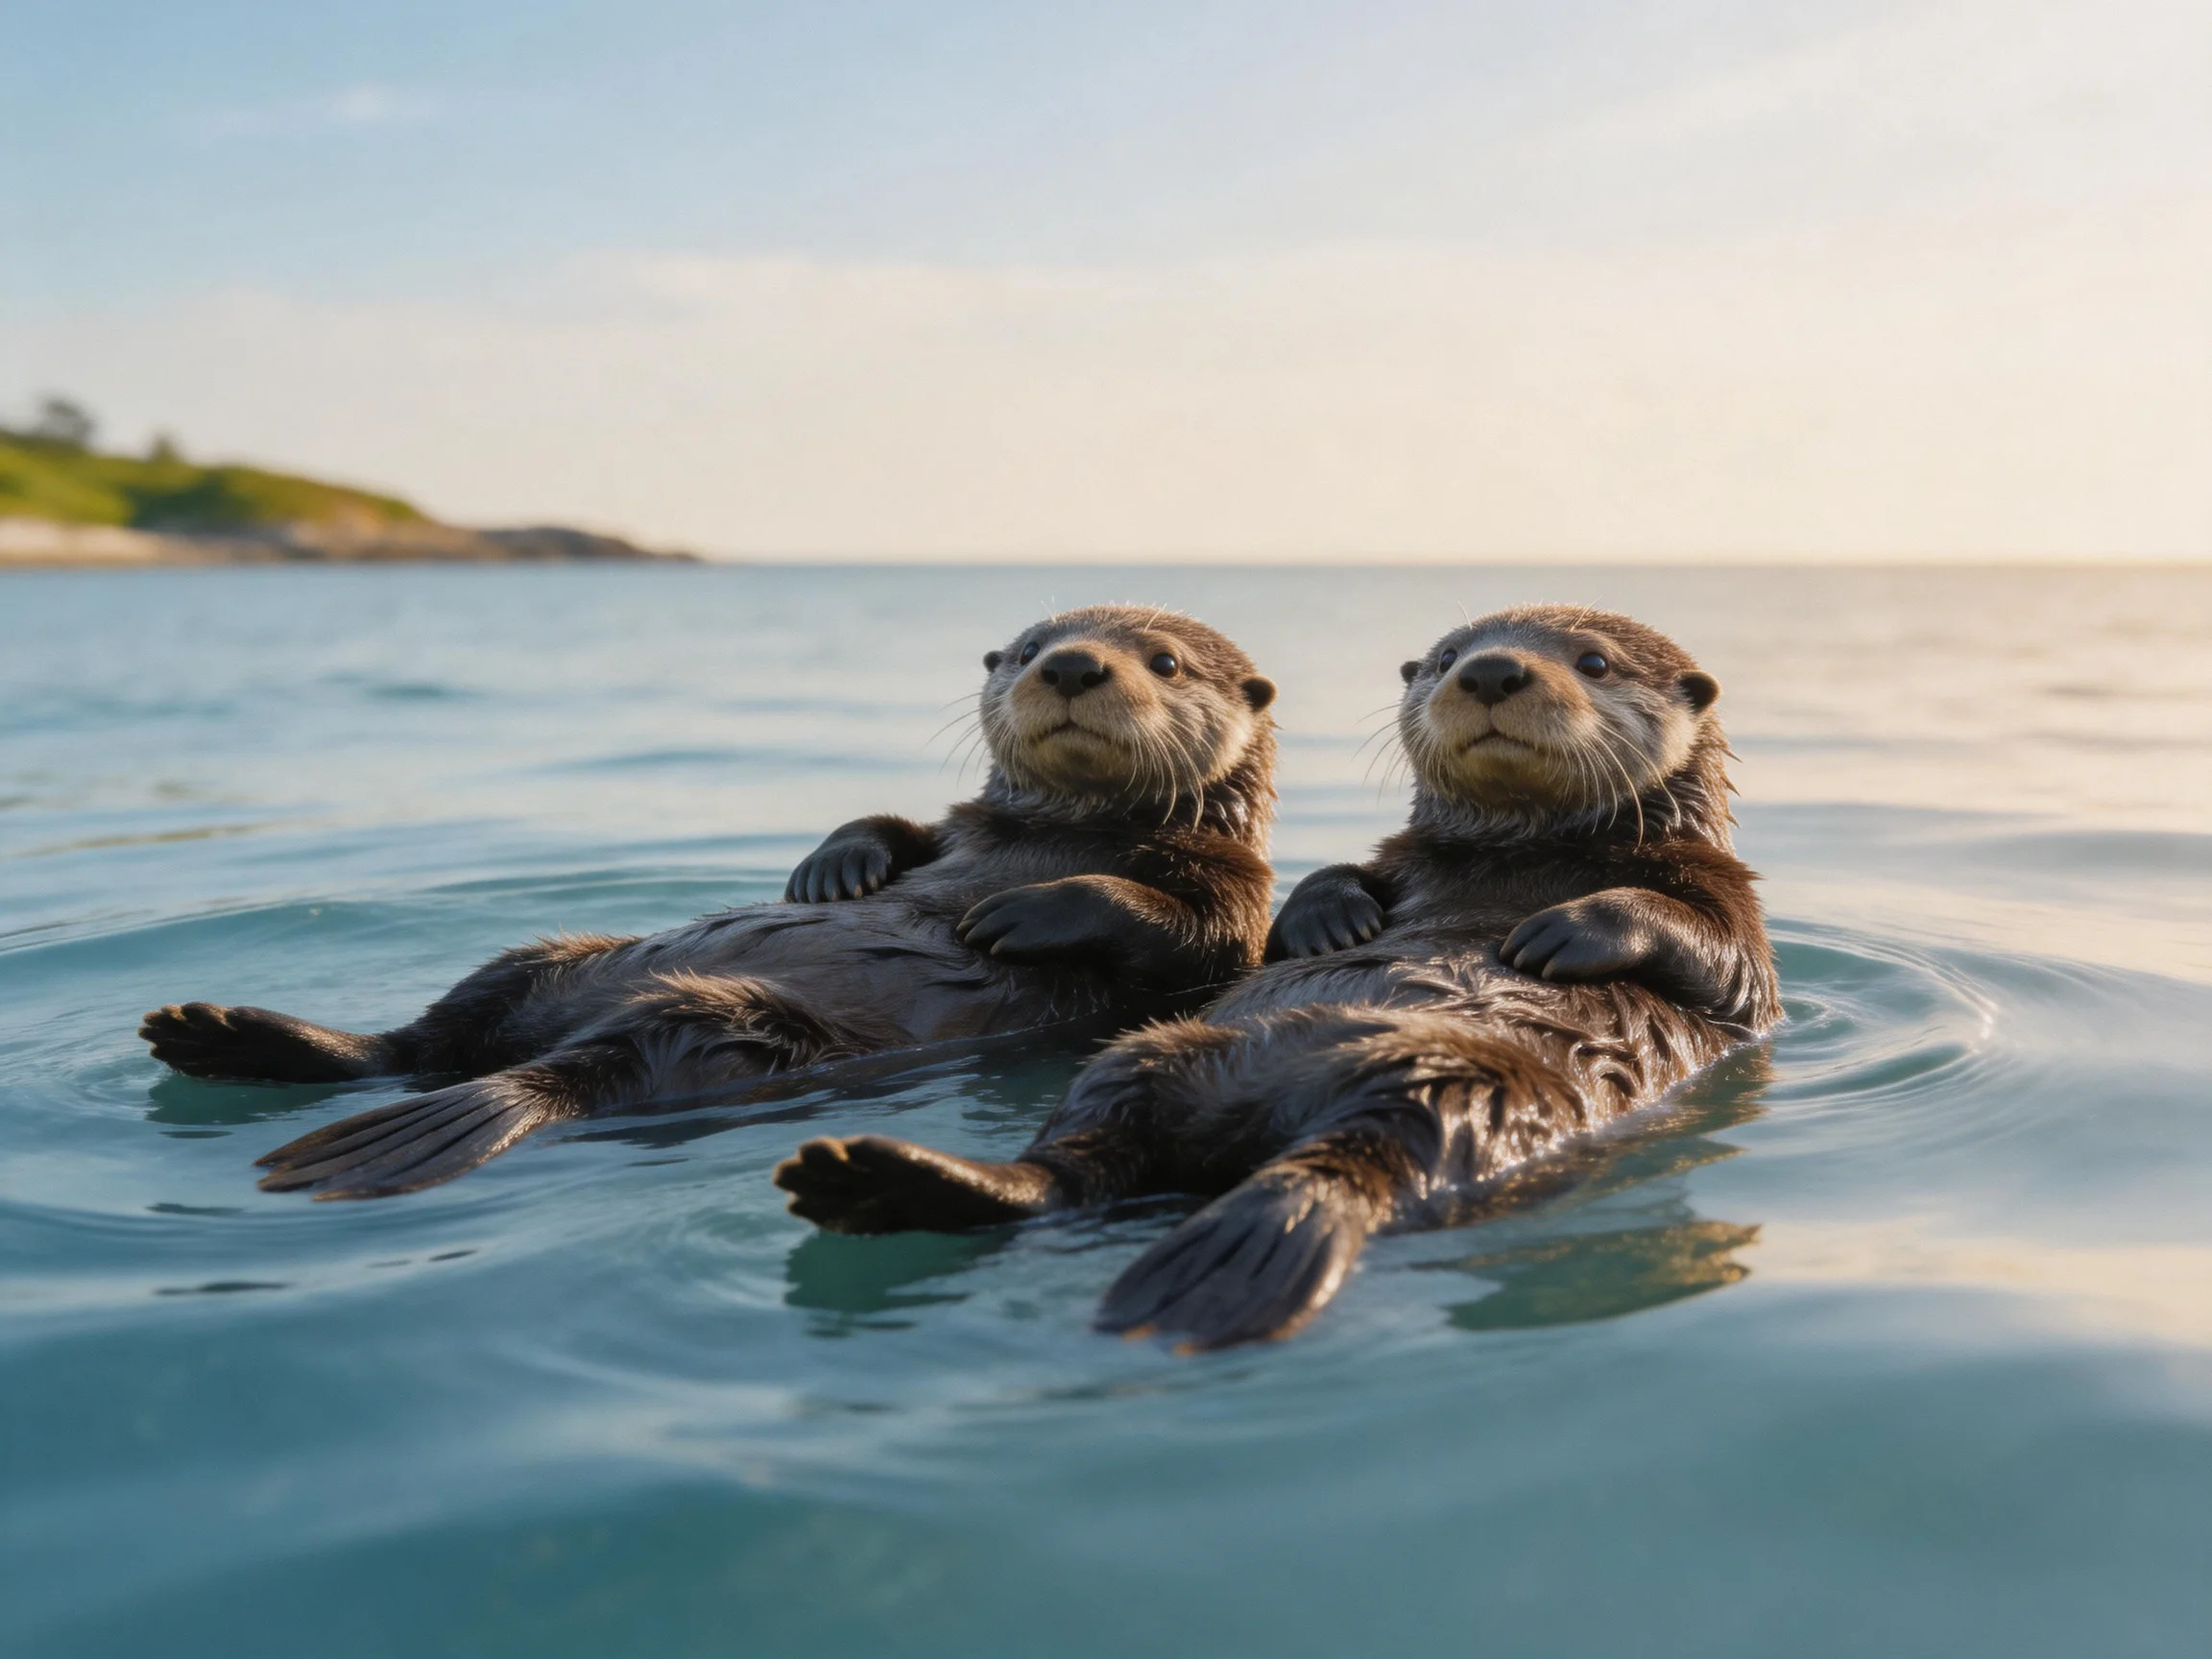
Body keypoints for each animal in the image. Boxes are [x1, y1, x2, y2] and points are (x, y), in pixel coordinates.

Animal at [140, 605, 1279, 1199]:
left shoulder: (1239, 891)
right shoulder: (957, 824)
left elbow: (1186, 929)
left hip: (738, 1028)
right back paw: (225, 1033)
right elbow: (898, 828)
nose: (1074, 663)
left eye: (1165, 660)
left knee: (557, 1069)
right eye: (1029, 644)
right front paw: (835, 869)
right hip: (545, 957)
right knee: (416, 1041)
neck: (1063, 832)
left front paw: (1016, 915)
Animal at [774, 605, 1779, 1350]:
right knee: (1073, 1166)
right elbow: (1327, 880)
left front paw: (1557, 932)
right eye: (1447, 657)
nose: (1491, 671)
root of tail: (1272, 1119)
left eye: (1595, 662)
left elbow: (1714, 954)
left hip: (1465, 1083)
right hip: (1146, 1057)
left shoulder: (1728, 900)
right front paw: (1333, 917)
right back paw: (884, 1182)